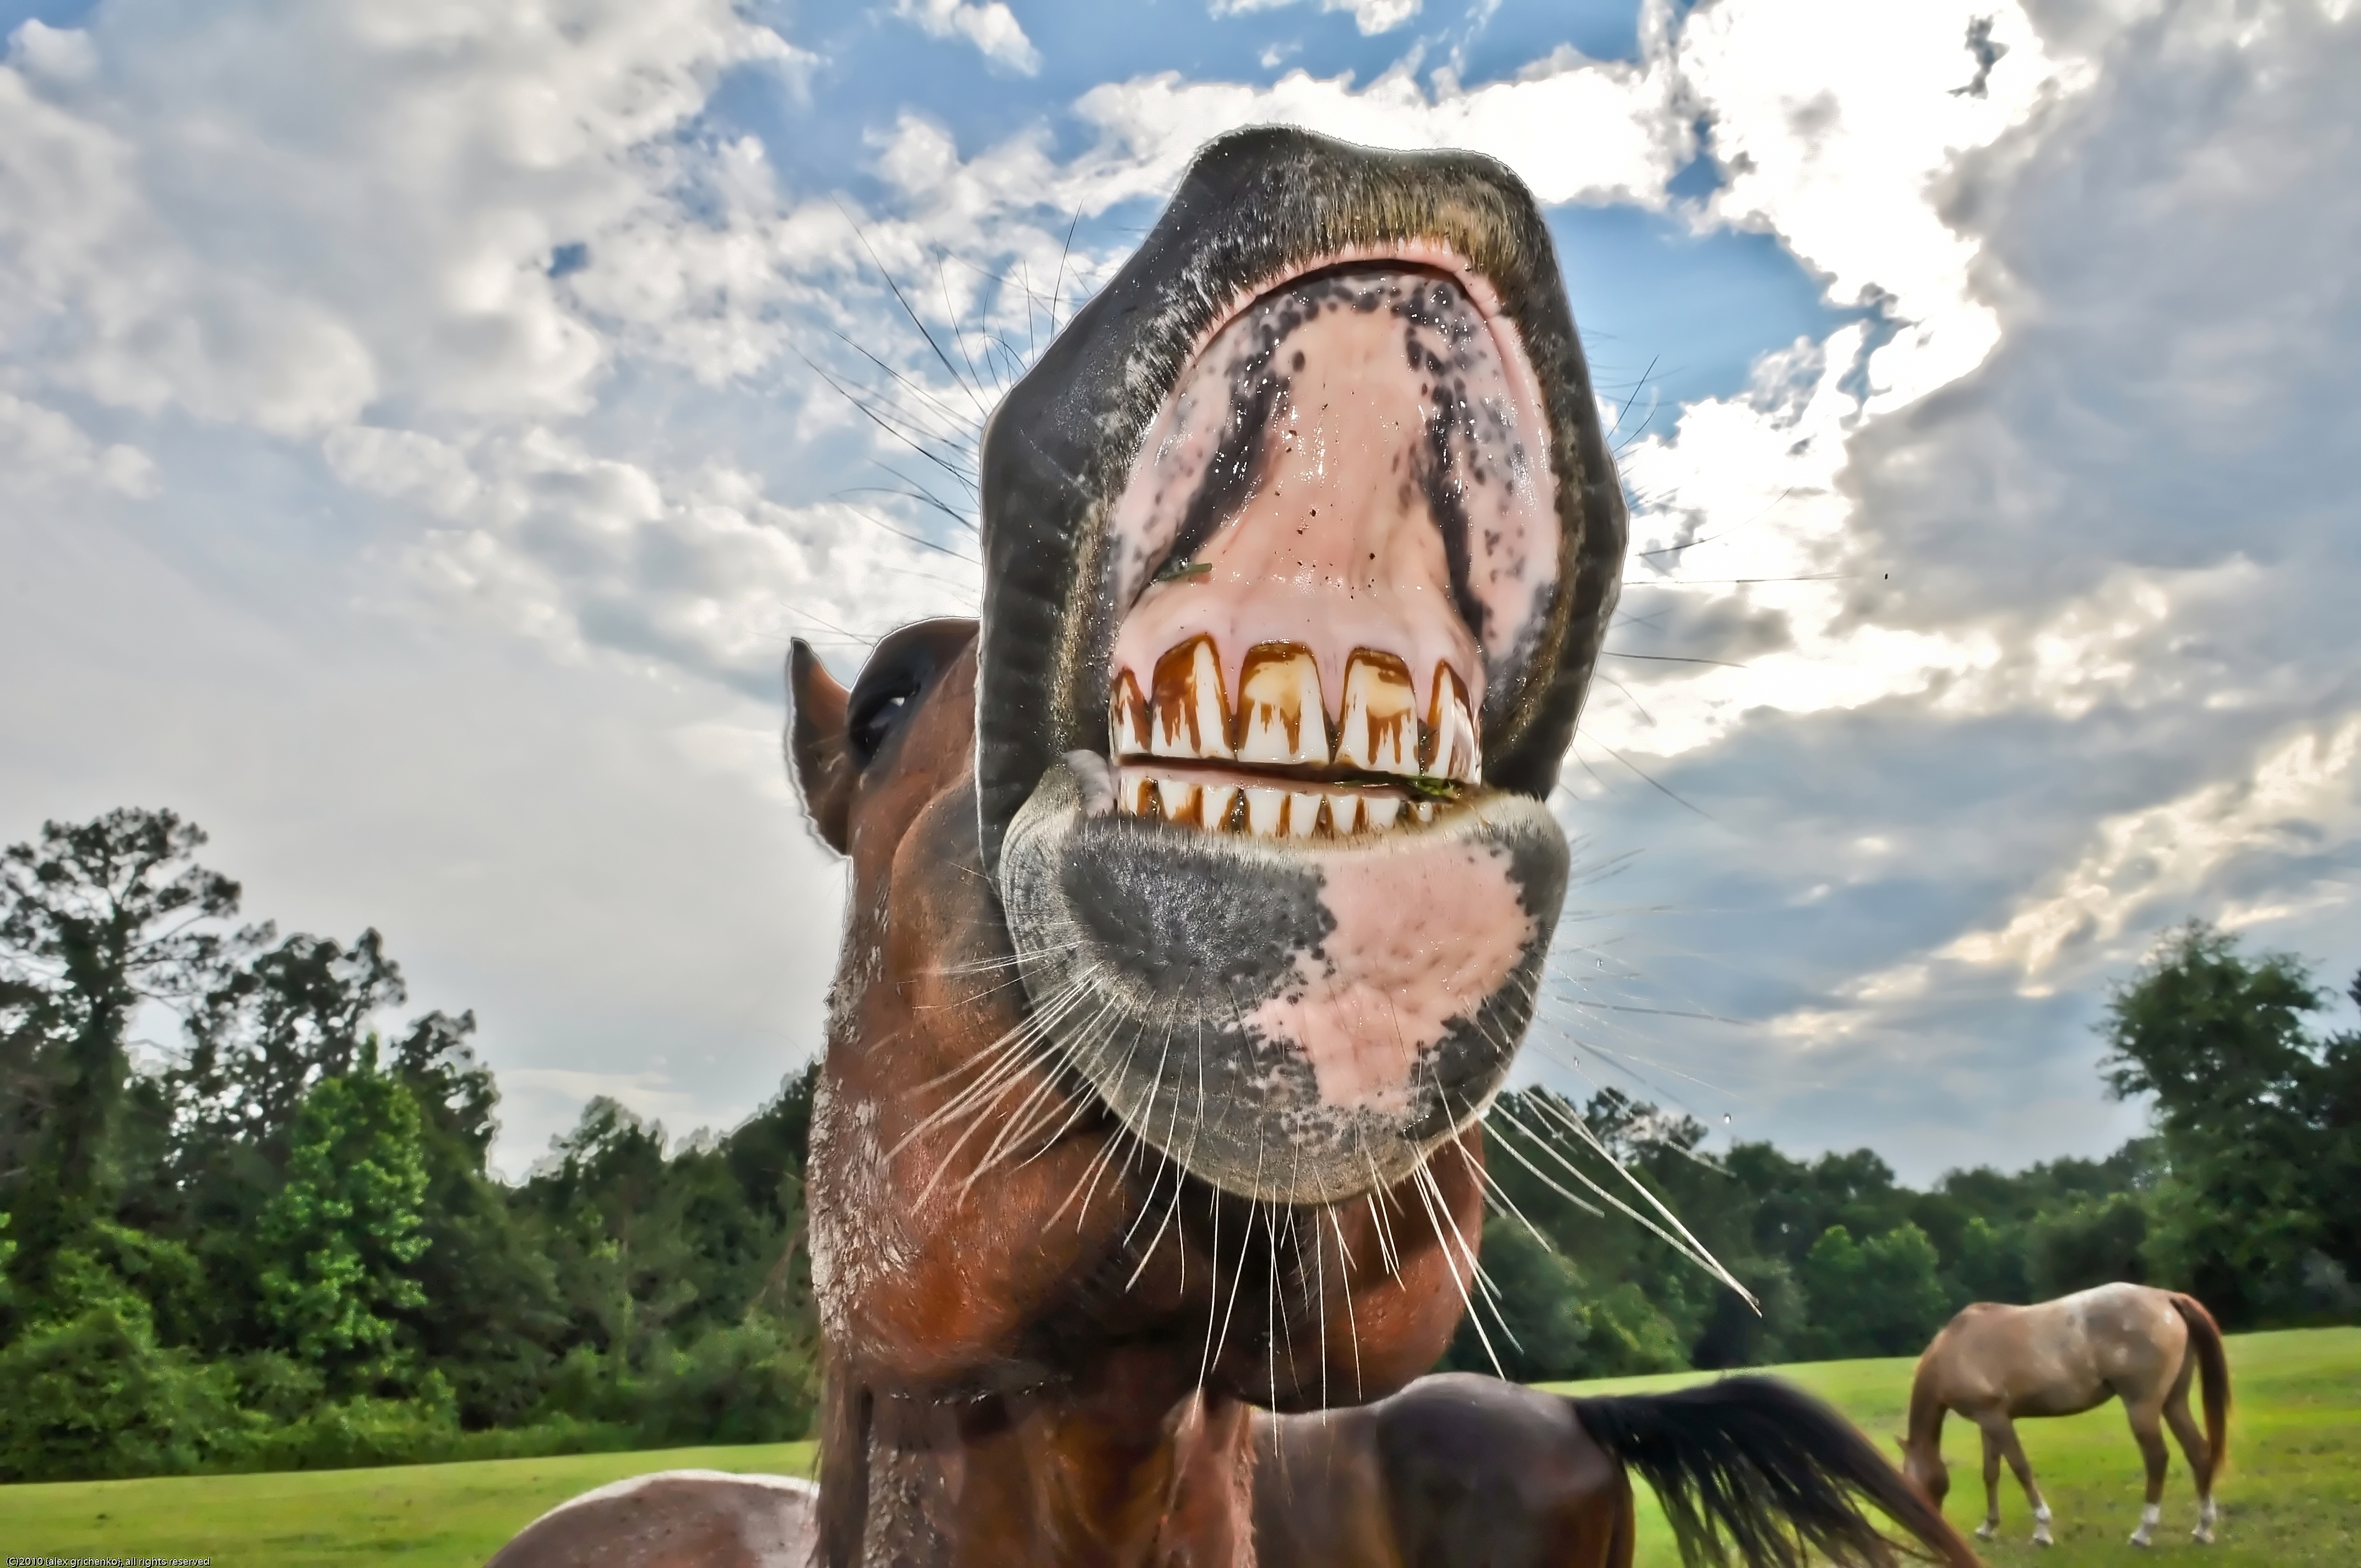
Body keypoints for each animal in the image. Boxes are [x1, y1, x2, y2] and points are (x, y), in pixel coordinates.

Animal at [1898, 1284, 2228, 1539]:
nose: (1929, 1530)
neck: (1953, 1349)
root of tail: (2166, 1296)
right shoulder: (1988, 1420)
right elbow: (1991, 1473)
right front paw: (1989, 1527)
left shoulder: (1996, 1420)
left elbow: (2020, 1468)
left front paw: (2042, 1529)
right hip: (2174, 1403)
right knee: (2198, 1453)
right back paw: (2203, 1529)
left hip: (2142, 1407)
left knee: (2157, 1458)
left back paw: (2144, 1532)